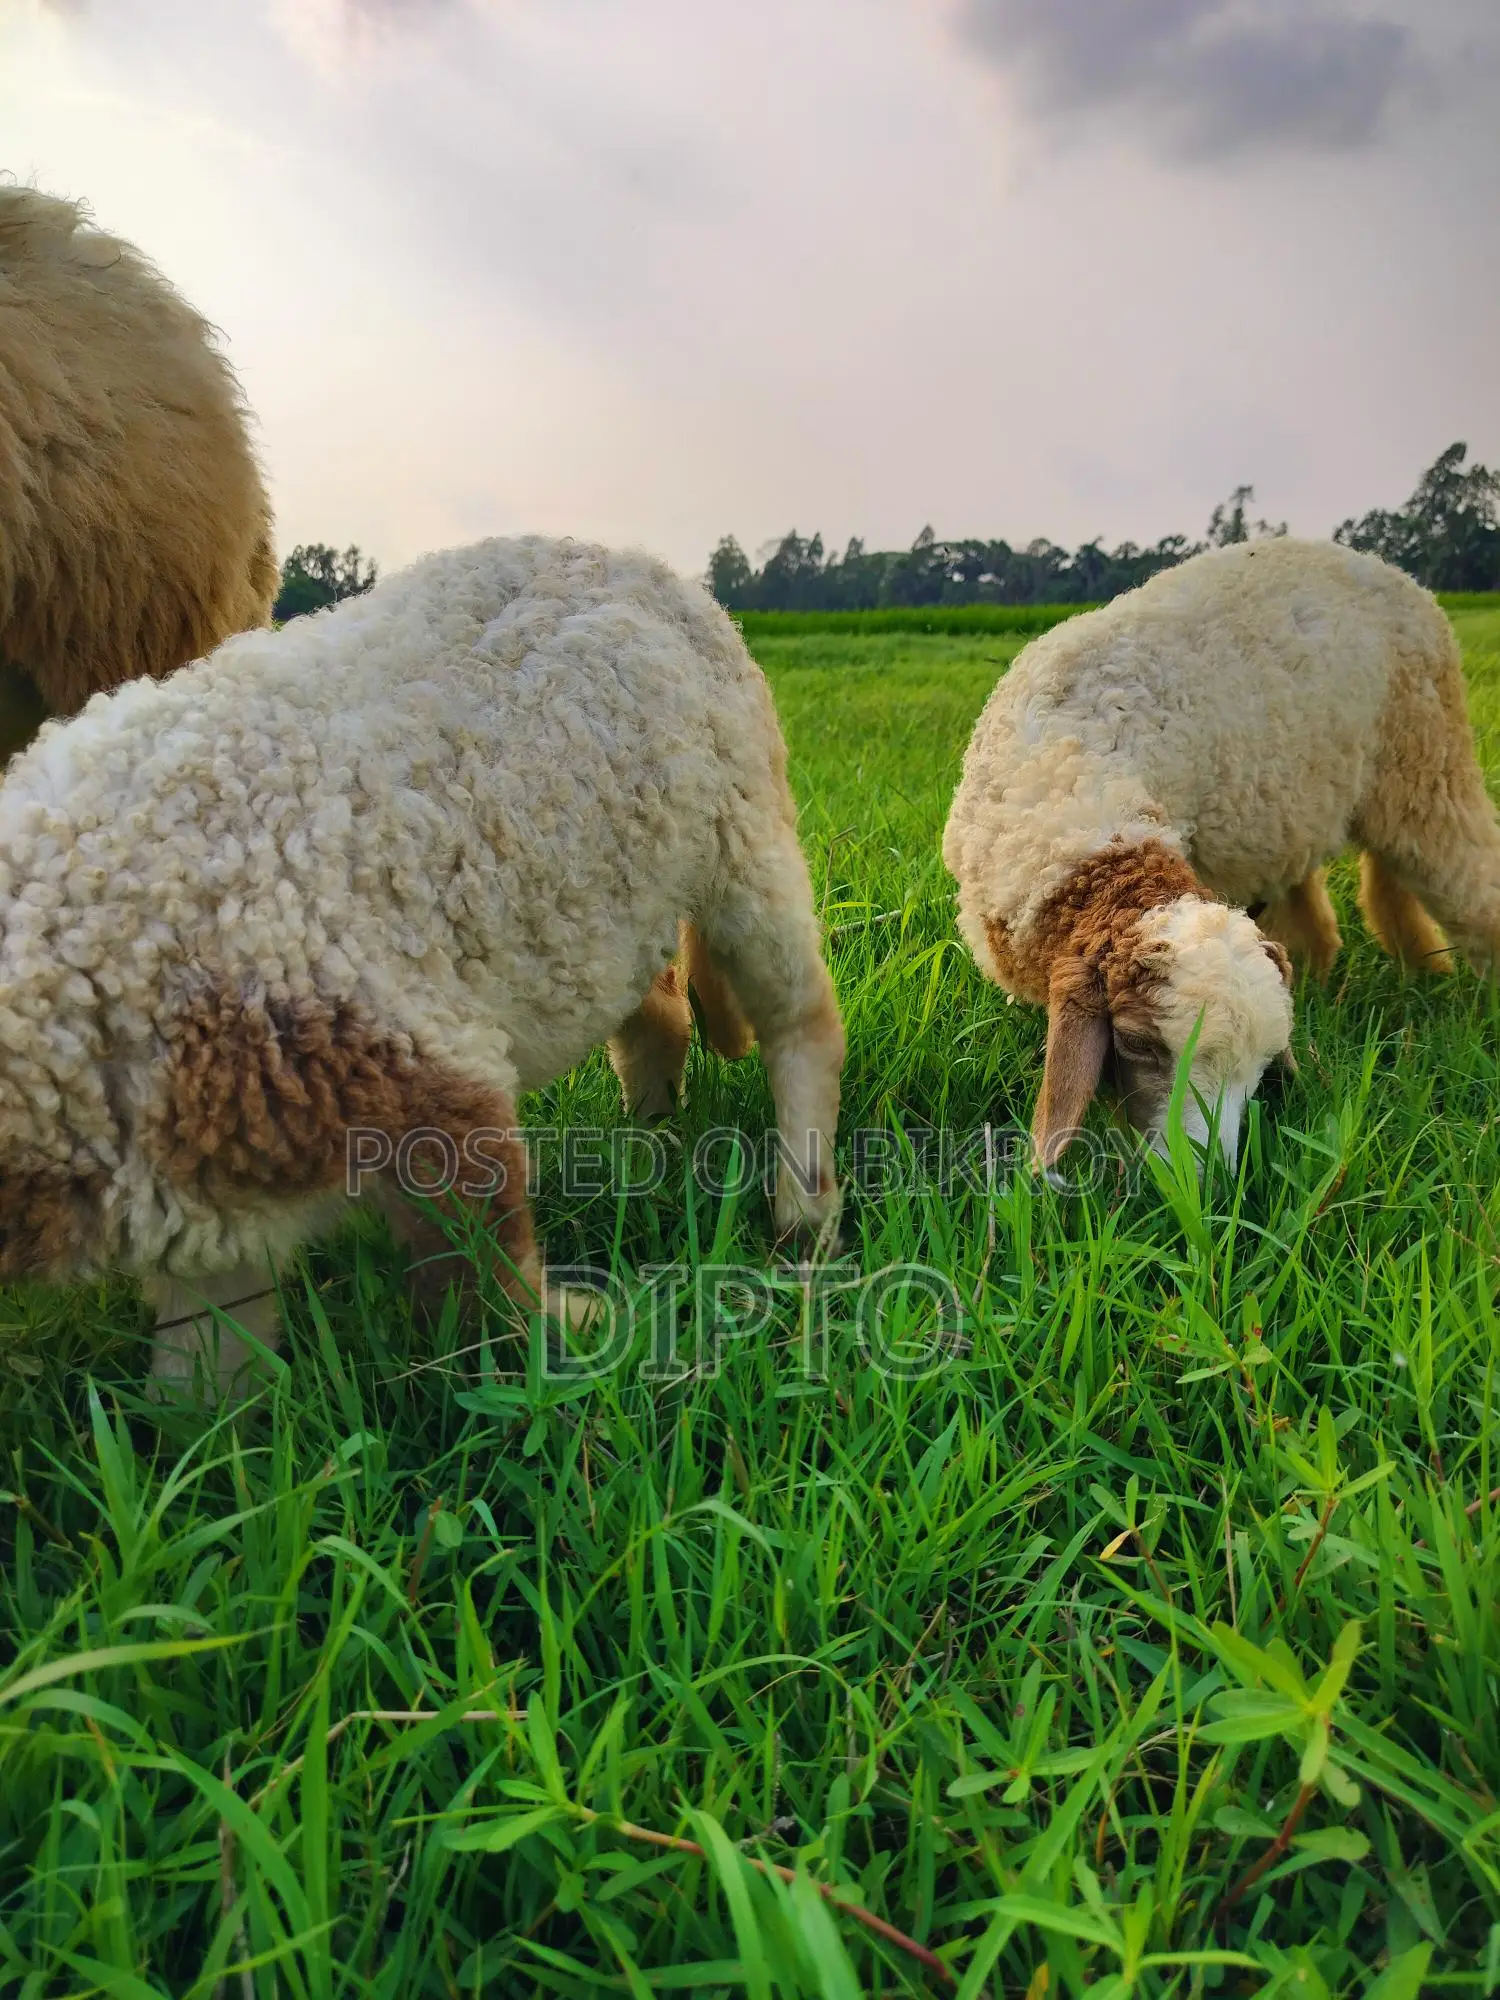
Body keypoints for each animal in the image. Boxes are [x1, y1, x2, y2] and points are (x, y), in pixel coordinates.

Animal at [0, 534, 846, 1398]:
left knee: (802, 1018)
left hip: (745, 834)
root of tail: (639, 561)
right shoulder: (213, 1183)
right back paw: (646, 1136)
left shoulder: (421, 1063)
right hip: (620, 901)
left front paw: (588, 1342)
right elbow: (205, 1377)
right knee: (658, 1010)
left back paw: (803, 1209)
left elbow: (488, 1283)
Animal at [942, 536, 1500, 1172]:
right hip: (1300, 805)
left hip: (1427, 758)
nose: (1203, 1179)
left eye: (1261, 1063)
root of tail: (1392, 571)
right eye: (1135, 1042)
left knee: (1467, 876)